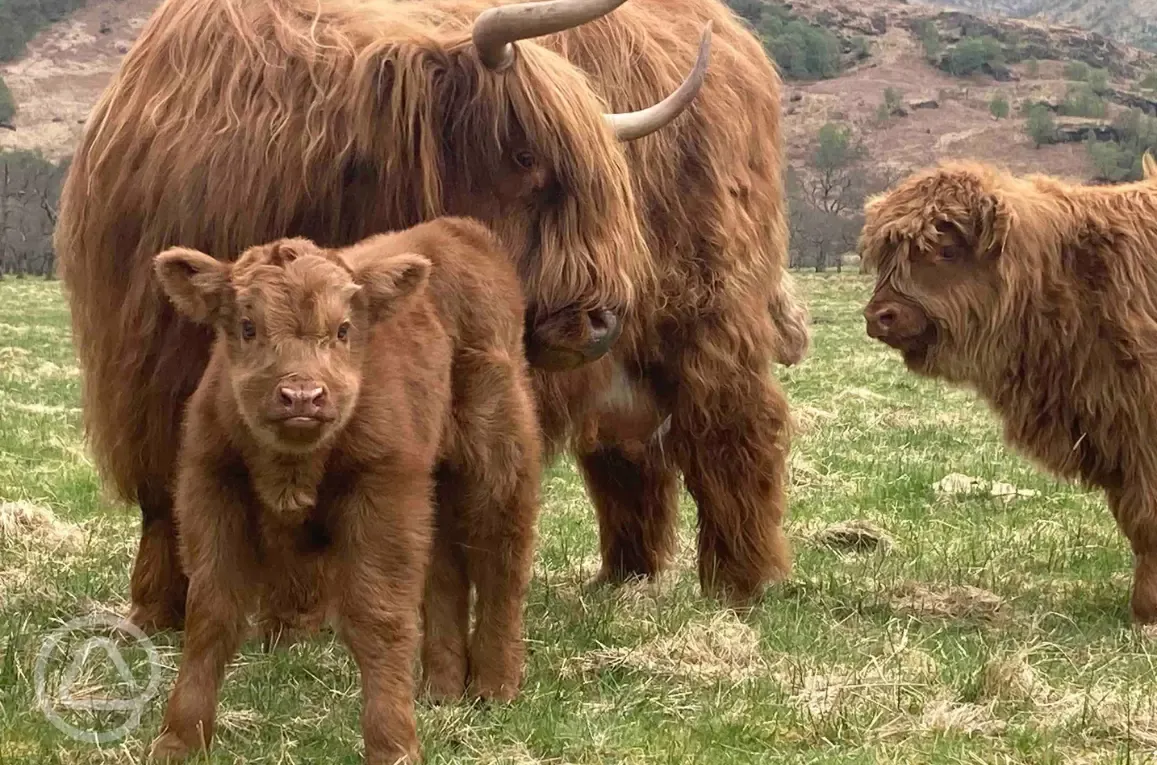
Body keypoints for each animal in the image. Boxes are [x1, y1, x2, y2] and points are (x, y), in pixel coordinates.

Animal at [61, 0, 712, 634]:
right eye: (525, 156)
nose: (603, 322)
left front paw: (298, 618)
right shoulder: (147, 364)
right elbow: (166, 487)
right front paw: (158, 611)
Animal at [144, 217, 541, 759]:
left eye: (344, 330)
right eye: (248, 326)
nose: (302, 395)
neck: (291, 469)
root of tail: (456, 229)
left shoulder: (382, 494)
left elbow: (379, 618)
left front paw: (394, 746)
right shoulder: (210, 487)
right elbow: (210, 614)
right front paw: (179, 740)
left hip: (497, 456)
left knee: (501, 557)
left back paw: (495, 685)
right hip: (430, 486)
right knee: (445, 570)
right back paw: (441, 687)